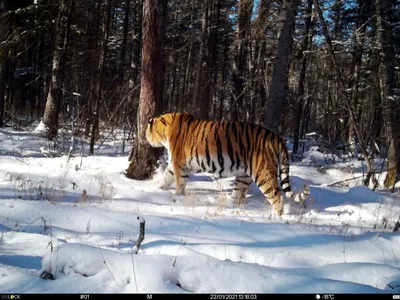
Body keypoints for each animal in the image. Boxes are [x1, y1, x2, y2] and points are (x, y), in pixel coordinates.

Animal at [145, 112, 310, 216]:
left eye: (147, 130)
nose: (145, 137)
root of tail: (277, 138)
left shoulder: (179, 164)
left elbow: (180, 183)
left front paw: (176, 197)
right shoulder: (174, 165)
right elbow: (166, 176)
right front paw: (159, 189)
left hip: (263, 173)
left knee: (277, 196)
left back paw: (277, 216)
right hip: (243, 176)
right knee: (238, 195)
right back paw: (231, 209)